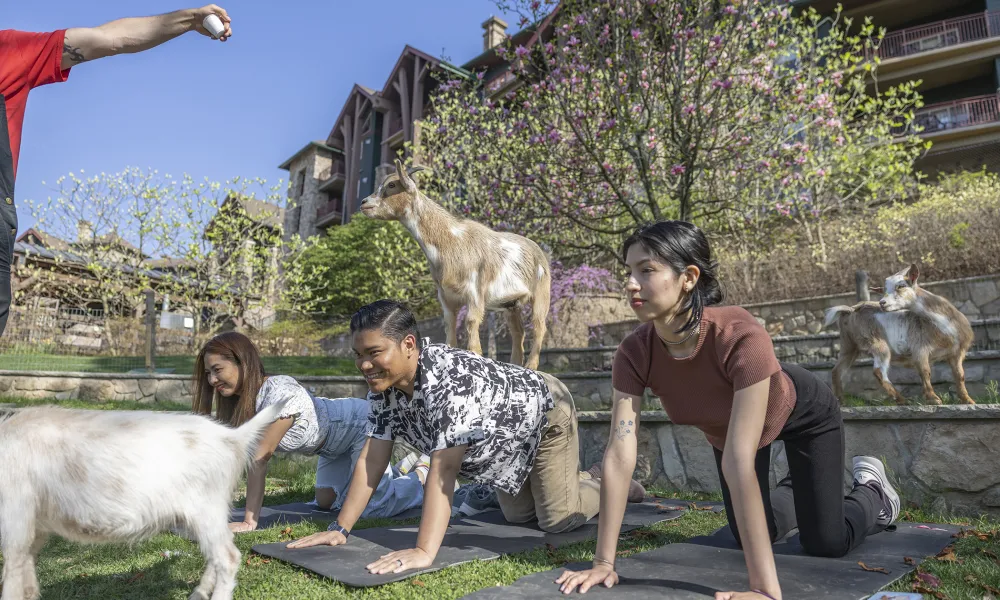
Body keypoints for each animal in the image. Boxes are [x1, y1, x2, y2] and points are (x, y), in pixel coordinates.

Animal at [0, 398, 288, 600]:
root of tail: (232, 437)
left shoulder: (16, 516)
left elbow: (12, 572)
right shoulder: (34, 526)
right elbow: (26, 575)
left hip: (206, 508)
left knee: (228, 557)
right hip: (209, 513)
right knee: (217, 553)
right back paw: (198, 593)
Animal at [360, 157, 552, 368]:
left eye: (392, 185)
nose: (364, 202)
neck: (451, 242)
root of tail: (540, 251)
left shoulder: (475, 292)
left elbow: (471, 329)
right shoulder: (446, 297)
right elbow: (450, 332)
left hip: (541, 293)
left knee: (539, 327)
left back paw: (530, 366)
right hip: (511, 304)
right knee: (519, 332)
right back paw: (515, 365)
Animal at [820, 264, 976, 406]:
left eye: (901, 286)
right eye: (883, 290)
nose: (882, 303)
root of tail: (850, 310)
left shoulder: (956, 353)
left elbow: (960, 376)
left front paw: (968, 400)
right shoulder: (920, 348)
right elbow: (925, 372)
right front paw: (934, 399)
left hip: (849, 345)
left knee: (836, 371)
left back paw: (841, 402)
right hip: (876, 342)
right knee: (878, 371)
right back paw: (902, 400)